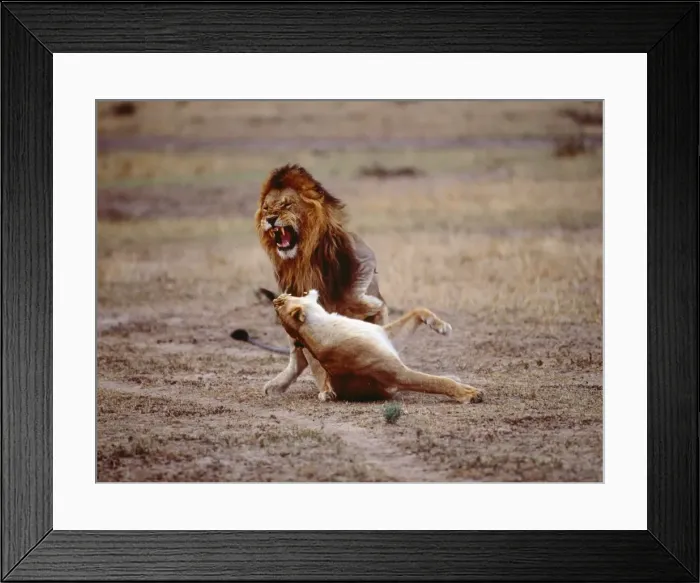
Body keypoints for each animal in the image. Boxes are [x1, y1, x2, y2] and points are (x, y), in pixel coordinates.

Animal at [255, 164, 389, 398]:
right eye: (266, 208)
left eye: (287, 204)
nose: (270, 218)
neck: (307, 262)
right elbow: (315, 360)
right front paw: (328, 389)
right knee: (298, 358)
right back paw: (277, 385)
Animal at [272, 290, 484, 404]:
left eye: (280, 303)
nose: (275, 299)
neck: (327, 322)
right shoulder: (396, 375)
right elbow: (437, 382)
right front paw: (470, 394)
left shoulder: (386, 335)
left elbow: (418, 311)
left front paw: (442, 327)